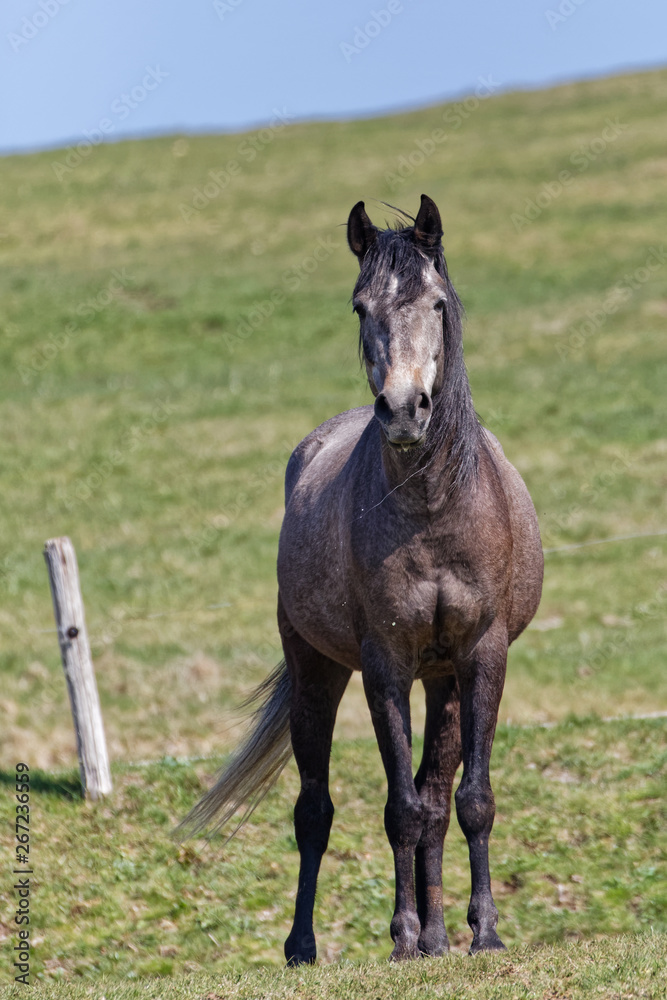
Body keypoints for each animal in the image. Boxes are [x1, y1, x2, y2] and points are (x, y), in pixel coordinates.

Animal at [180, 194, 544, 965]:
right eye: (358, 306)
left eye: (436, 302)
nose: (404, 411)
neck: (432, 511)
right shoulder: (384, 663)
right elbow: (398, 808)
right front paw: (402, 938)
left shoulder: (481, 656)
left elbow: (467, 801)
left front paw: (483, 934)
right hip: (317, 667)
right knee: (315, 807)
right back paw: (307, 945)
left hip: (442, 679)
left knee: (435, 797)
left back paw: (439, 936)